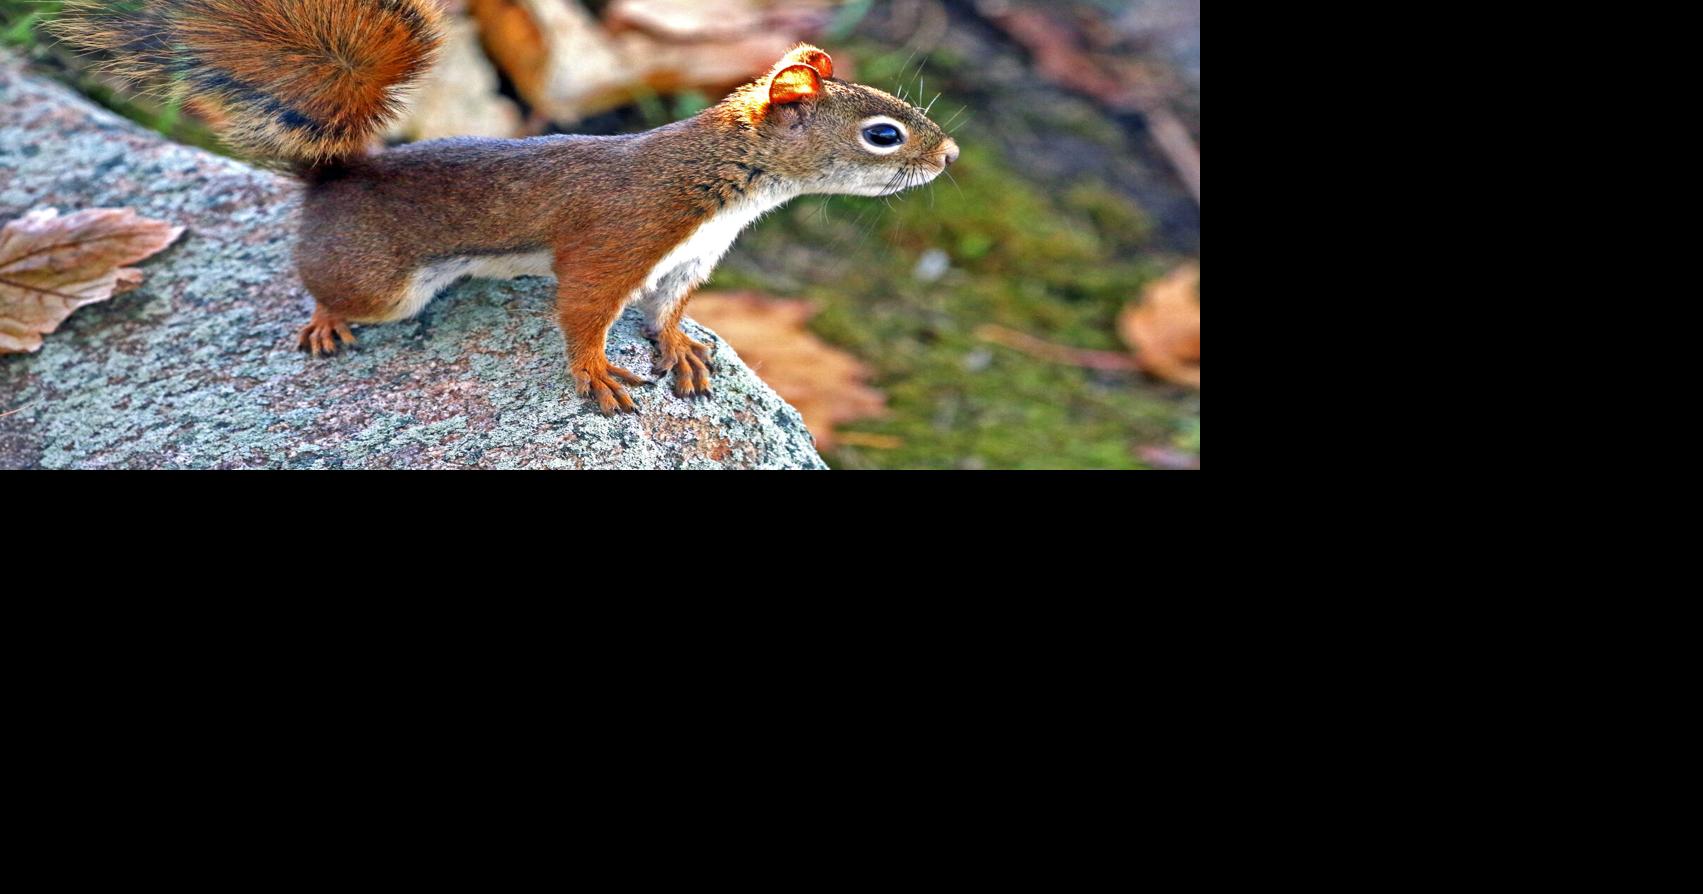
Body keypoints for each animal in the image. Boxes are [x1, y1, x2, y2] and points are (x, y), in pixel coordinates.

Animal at [53, 0, 960, 414]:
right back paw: (324, 320)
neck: (731, 183)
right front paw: (597, 373)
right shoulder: (622, 234)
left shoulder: (690, 257)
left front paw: (679, 350)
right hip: (384, 285)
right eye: (883, 133)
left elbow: (667, 311)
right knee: (331, 289)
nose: (948, 157)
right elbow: (586, 307)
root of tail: (331, 181)